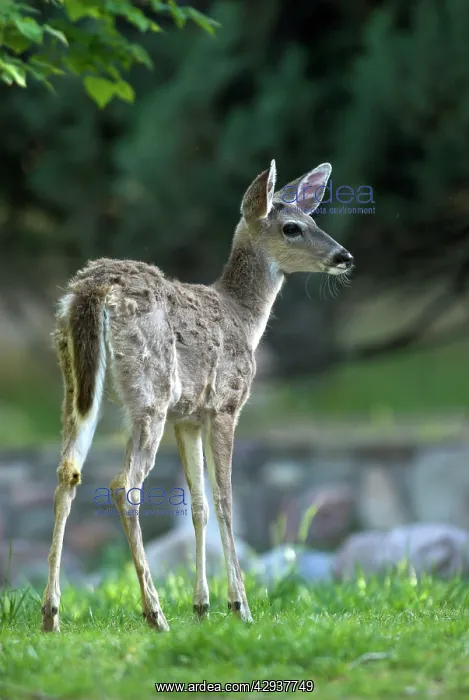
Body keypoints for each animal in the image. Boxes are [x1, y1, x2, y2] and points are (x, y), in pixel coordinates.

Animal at [41, 159, 353, 632]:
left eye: (315, 220)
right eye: (293, 228)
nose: (344, 256)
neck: (244, 319)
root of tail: (94, 290)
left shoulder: (187, 416)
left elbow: (199, 505)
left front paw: (203, 606)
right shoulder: (224, 404)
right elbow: (225, 499)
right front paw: (240, 605)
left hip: (76, 386)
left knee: (68, 472)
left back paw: (52, 615)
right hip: (150, 392)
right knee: (123, 485)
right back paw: (154, 613)